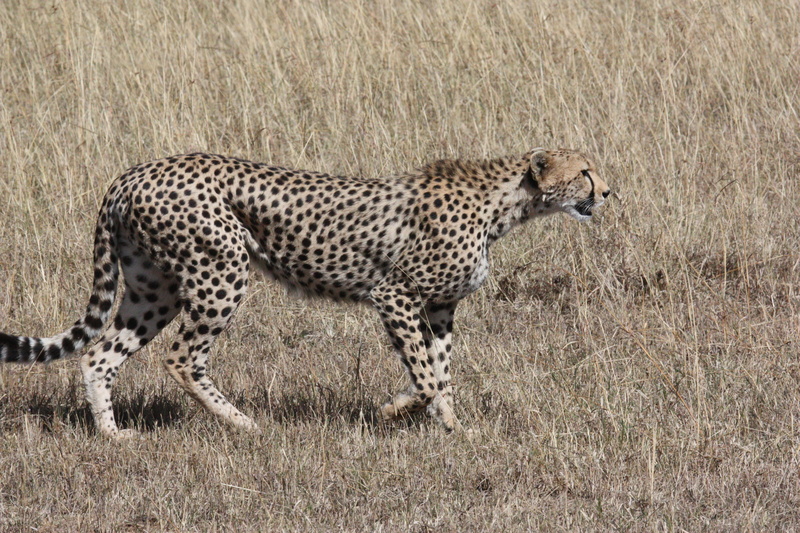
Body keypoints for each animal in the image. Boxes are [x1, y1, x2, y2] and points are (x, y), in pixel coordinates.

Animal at [0, 148, 610, 439]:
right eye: (584, 171)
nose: (608, 191)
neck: (508, 204)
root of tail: (134, 171)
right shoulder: (394, 294)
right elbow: (427, 374)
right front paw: (416, 415)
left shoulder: (439, 308)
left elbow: (440, 371)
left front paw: (439, 422)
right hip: (222, 271)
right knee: (181, 356)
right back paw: (244, 424)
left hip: (155, 289)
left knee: (100, 354)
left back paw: (113, 436)